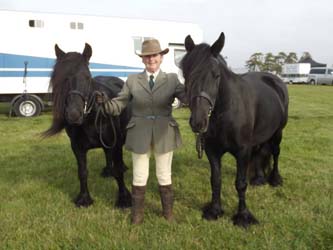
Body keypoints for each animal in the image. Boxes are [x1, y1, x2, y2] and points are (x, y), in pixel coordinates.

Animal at [43, 44, 131, 208]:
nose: (73, 115)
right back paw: (107, 171)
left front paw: (124, 199)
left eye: (87, 77)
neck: (91, 117)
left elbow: (118, 171)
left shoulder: (115, 143)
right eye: (60, 78)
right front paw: (84, 199)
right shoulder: (77, 147)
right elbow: (82, 172)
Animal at [180, 32, 286, 227]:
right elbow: (215, 180)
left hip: (277, 133)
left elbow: (241, 183)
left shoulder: (242, 151)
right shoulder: (212, 150)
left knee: (275, 153)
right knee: (260, 152)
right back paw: (259, 178)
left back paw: (275, 179)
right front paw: (214, 211)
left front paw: (243, 216)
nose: (198, 122)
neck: (226, 112)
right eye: (186, 74)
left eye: (216, 75)